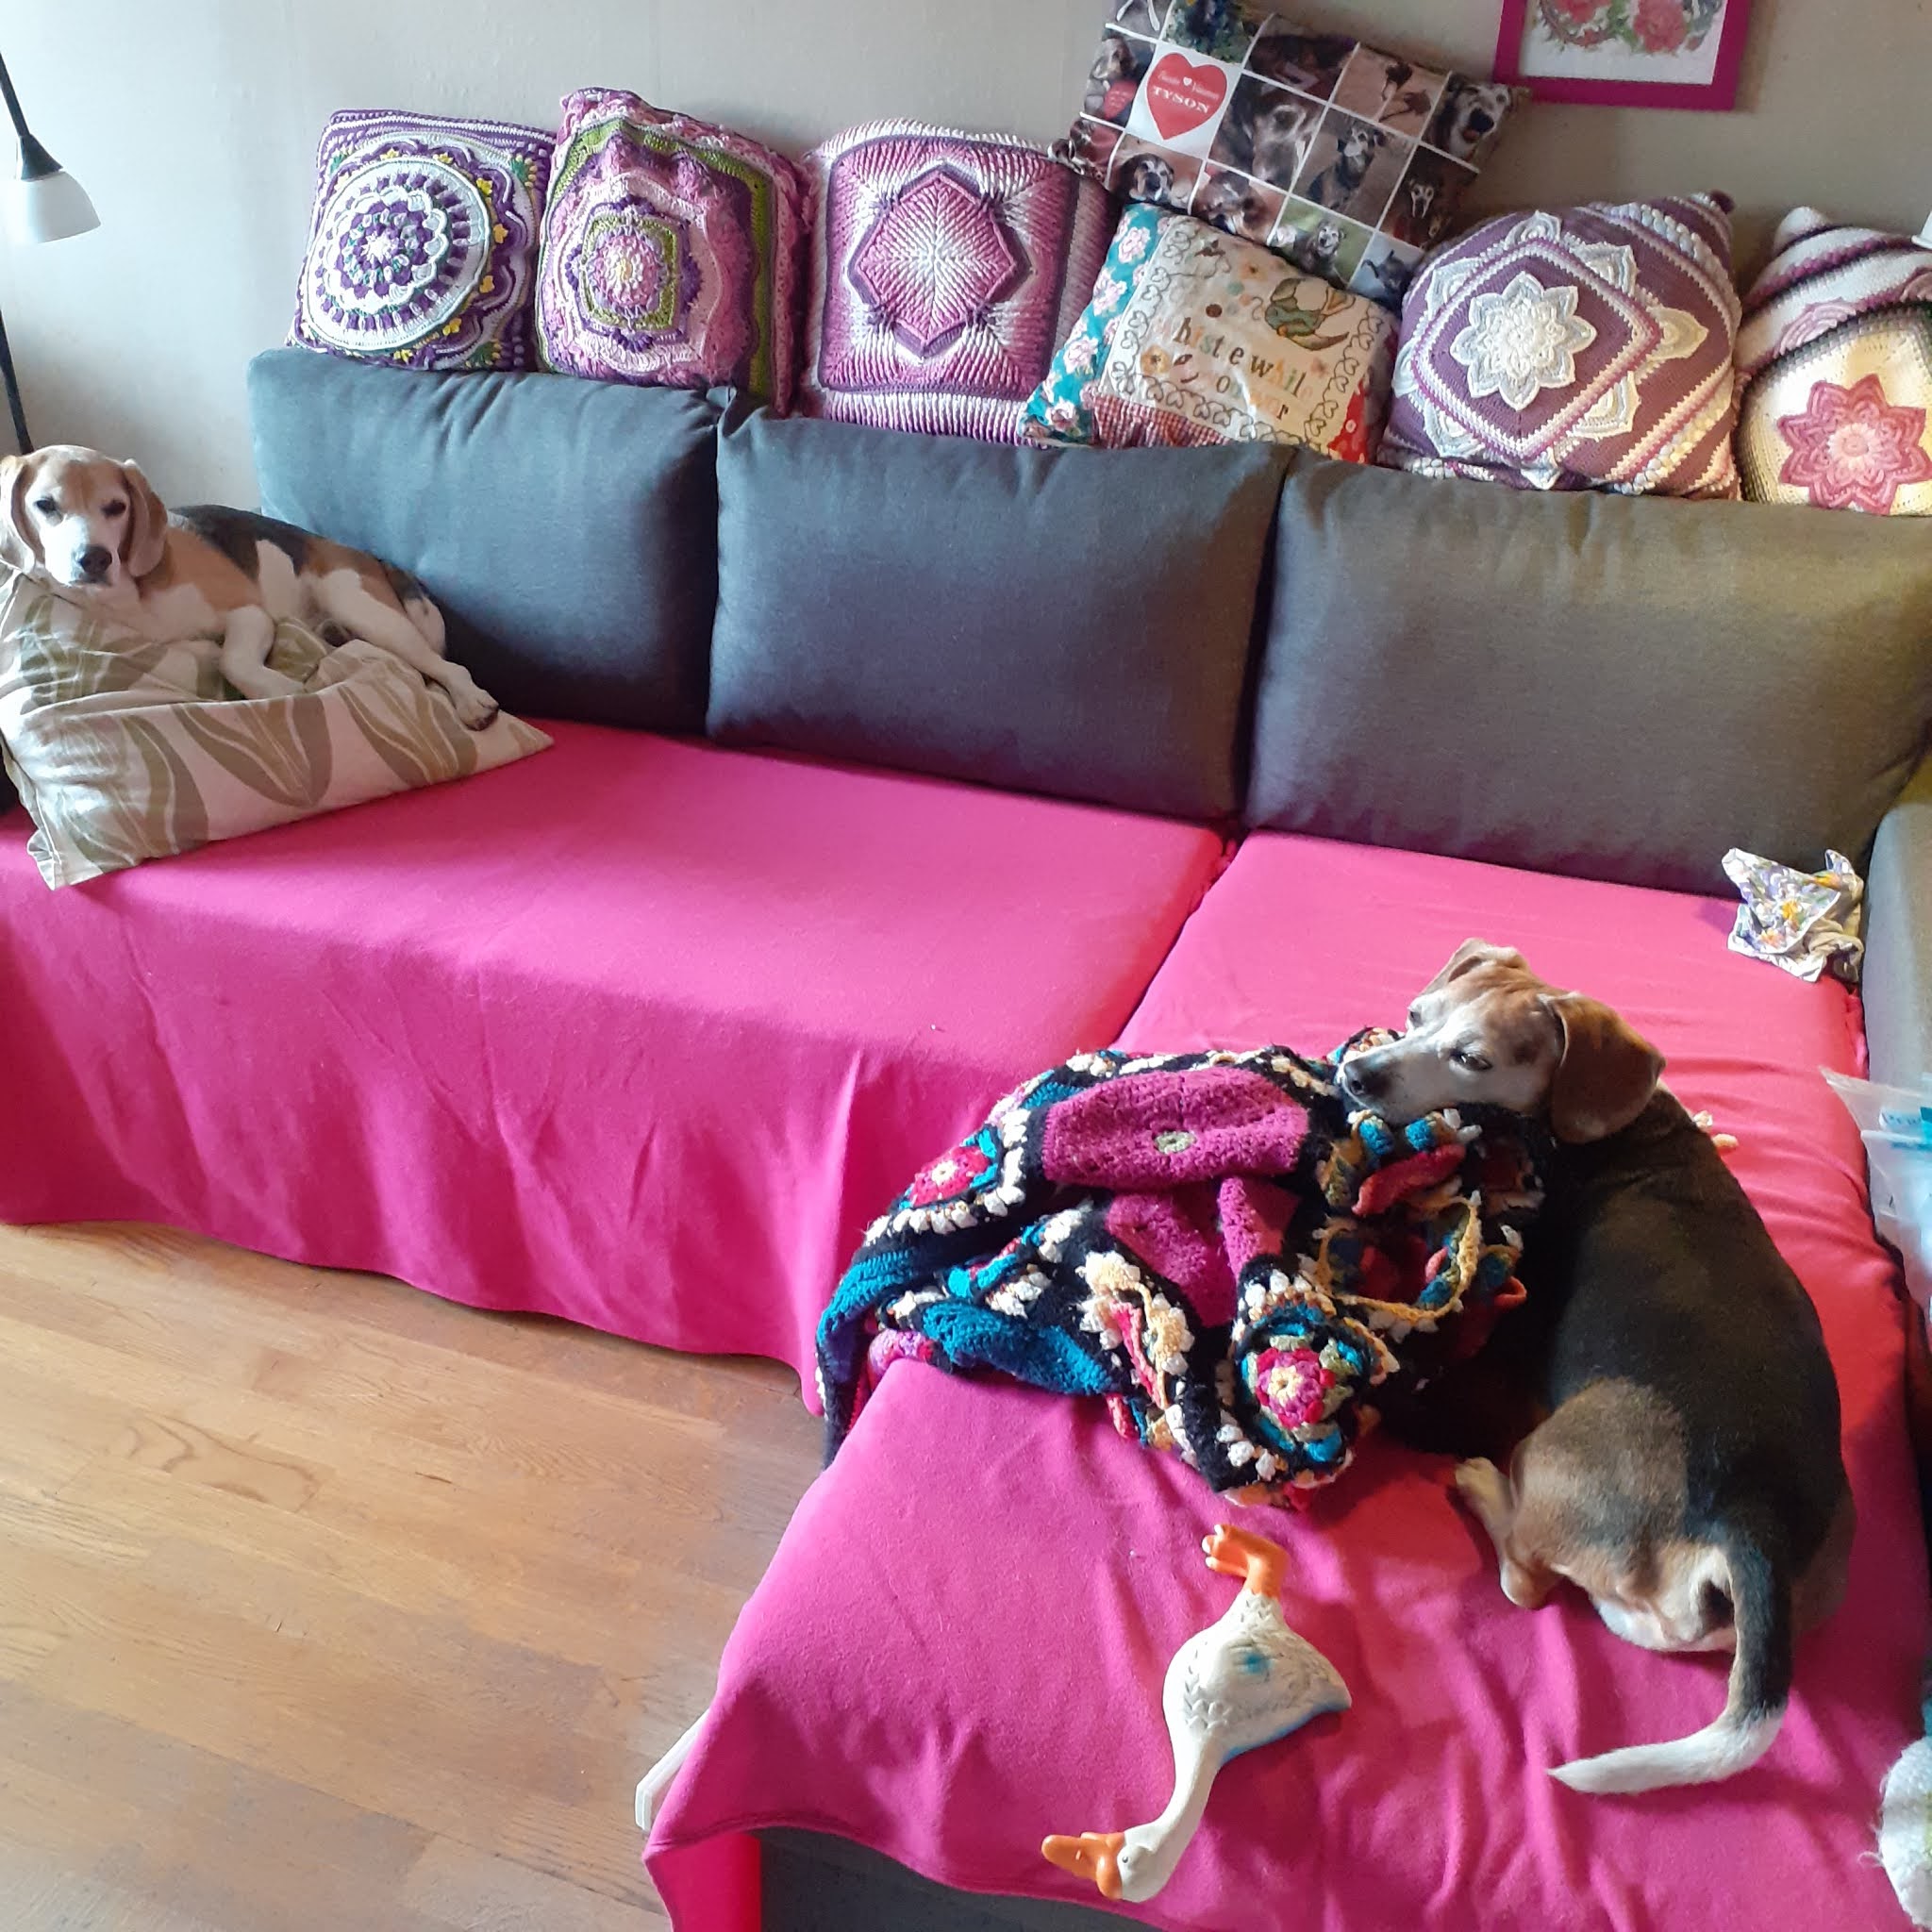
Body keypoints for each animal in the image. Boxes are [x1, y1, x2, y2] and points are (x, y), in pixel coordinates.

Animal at [1, 445, 498, 728]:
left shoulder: (248, 614)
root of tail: (360, 552)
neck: (127, 597)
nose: (95, 558)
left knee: (445, 666)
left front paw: (280, 688)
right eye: (45, 505)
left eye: (116, 507)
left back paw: (472, 701)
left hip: (358, 602)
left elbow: (232, 660)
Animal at [1341, 940, 1853, 1795]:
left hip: (1544, 1457)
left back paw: (1482, 1486)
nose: (1356, 1072)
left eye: (1472, 1059)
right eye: (1415, 1015)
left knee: (1524, 1579)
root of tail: (1753, 1522)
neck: (1630, 1128)